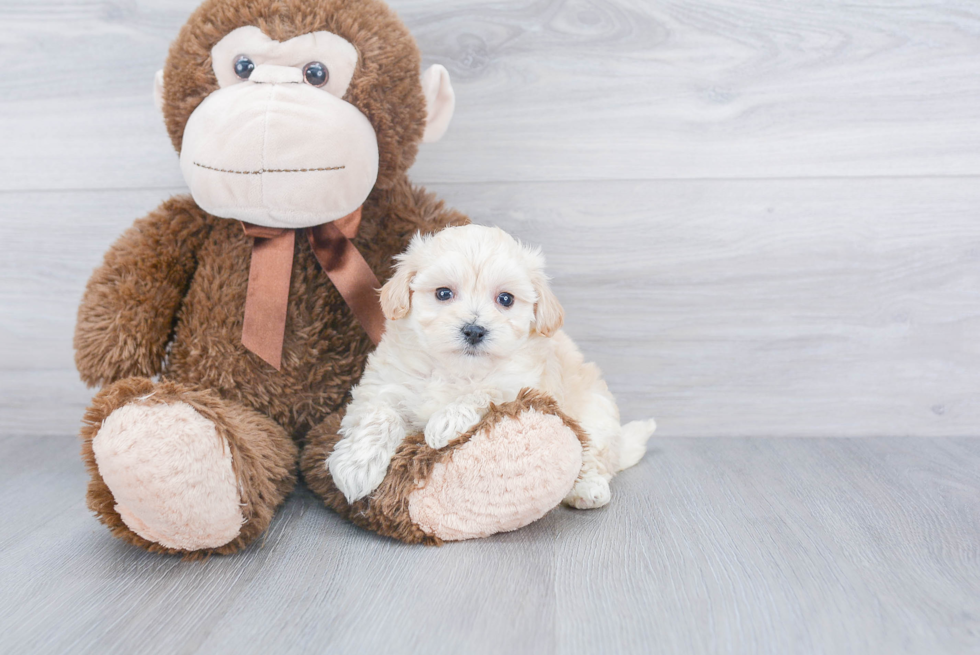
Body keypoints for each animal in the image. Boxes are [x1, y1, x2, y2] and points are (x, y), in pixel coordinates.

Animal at [330, 224, 660, 508]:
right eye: (443, 293)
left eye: (505, 299)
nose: (474, 330)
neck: (455, 369)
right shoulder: (384, 383)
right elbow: (378, 416)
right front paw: (355, 469)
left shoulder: (521, 385)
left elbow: (485, 392)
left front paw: (445, 423)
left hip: (596, 417)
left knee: (594, 457)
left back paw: (587, 489)